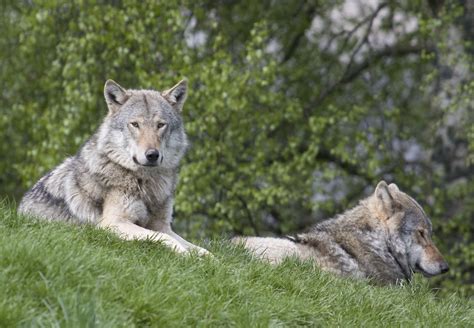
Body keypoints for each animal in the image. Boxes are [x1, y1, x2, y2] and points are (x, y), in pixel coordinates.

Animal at [19, 78, 209, 255]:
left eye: (160, 125)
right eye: (135, 124)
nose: (152, 155)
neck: (146, 184)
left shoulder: (162, 225)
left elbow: (201, 249)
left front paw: (209, 260)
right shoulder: (113, 223)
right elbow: (166, 239)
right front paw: (186, 255)